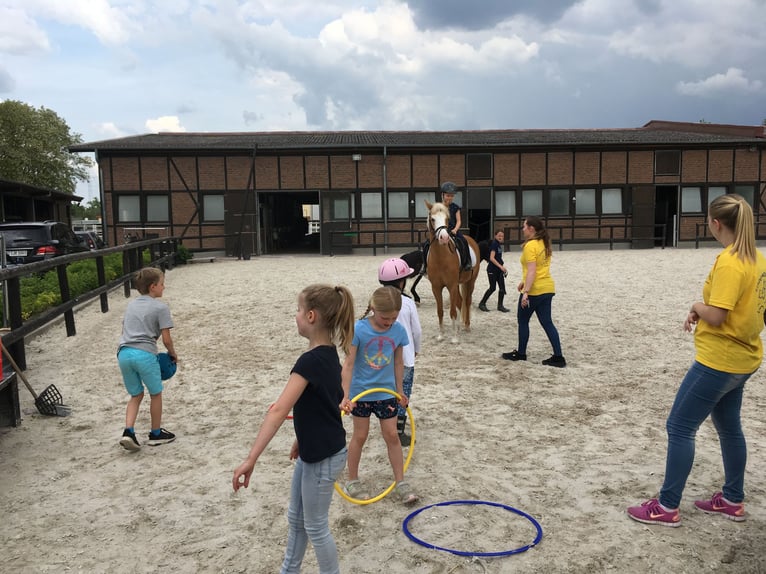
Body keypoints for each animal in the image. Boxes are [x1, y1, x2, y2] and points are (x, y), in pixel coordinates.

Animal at [426, 201, 480, 342]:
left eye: (447, 218)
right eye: (432, 219)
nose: (444, 238)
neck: (440, 257)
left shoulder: (451, 286)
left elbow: (452, 312)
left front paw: (454, 337)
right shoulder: (436, 287)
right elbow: (440, 311)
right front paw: (441, 335)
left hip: (470, 282)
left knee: (467, 301)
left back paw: (466, 326)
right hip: (457, 285)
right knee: (460, 302)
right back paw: (460, 327)